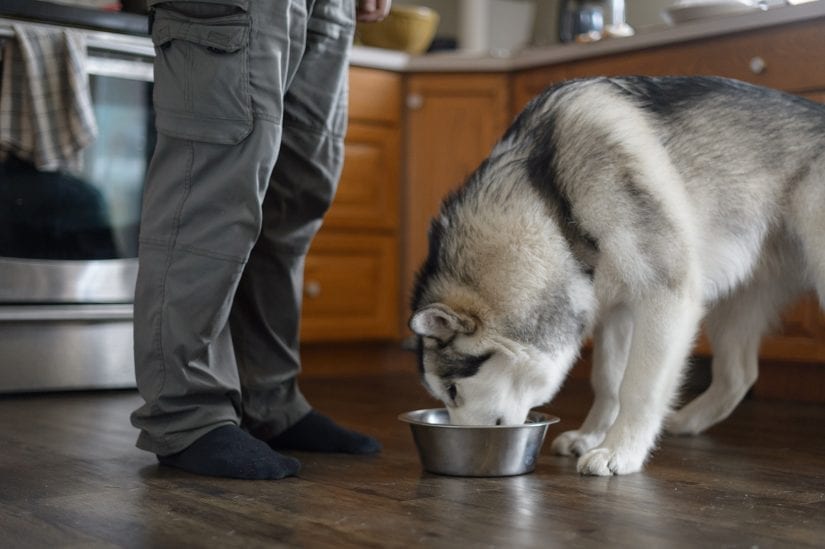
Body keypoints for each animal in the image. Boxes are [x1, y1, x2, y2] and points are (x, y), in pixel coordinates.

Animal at [408, 77, 824, 476]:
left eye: (452, 390)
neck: (555, 210)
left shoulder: (665, 297)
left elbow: (637, 388)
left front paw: (620, 451)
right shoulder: (614, 309)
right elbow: (608, 381)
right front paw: (592, 436)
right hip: (735, 305)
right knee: (739, 375)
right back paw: (685, 422)